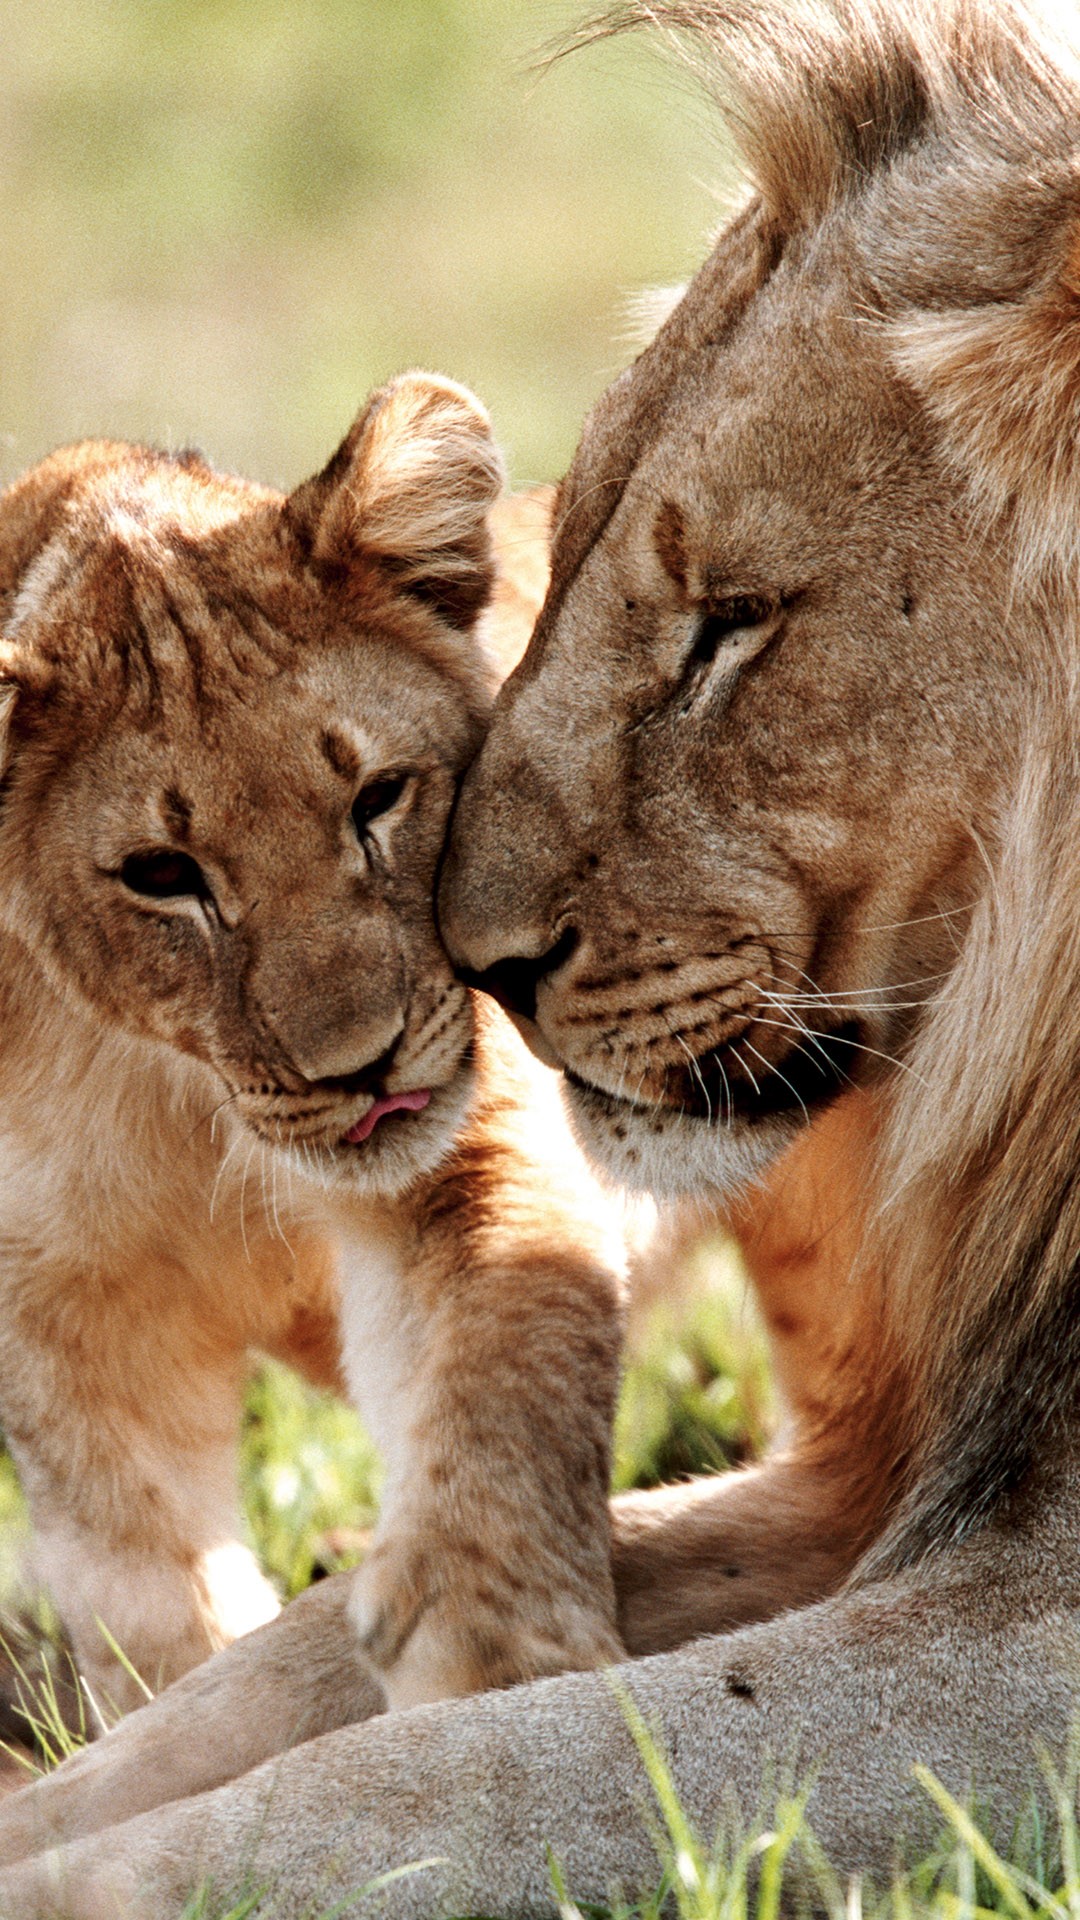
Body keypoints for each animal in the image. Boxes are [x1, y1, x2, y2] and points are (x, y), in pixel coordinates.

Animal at [0, 372, 628, 1726]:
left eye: (378, 797)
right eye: (161, 874)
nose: (364, 1066)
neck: (179, 1094)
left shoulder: (467, 1147)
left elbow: (510, 1338)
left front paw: (493, 1641)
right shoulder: (59, 1301)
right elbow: (139, 1570)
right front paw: (181, 1705)